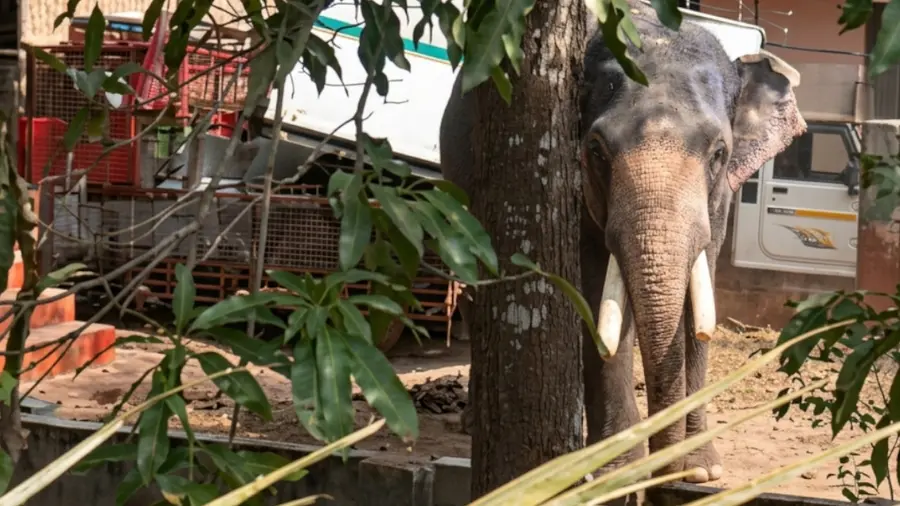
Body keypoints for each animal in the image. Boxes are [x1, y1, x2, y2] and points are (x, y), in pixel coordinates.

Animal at [438, 0, 805, 484]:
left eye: (719, 153)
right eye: (596, 150)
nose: (663, 467)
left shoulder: (720, 199)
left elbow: (701, 287)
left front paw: (698, 470)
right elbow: (594, 293)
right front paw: (617, 471)